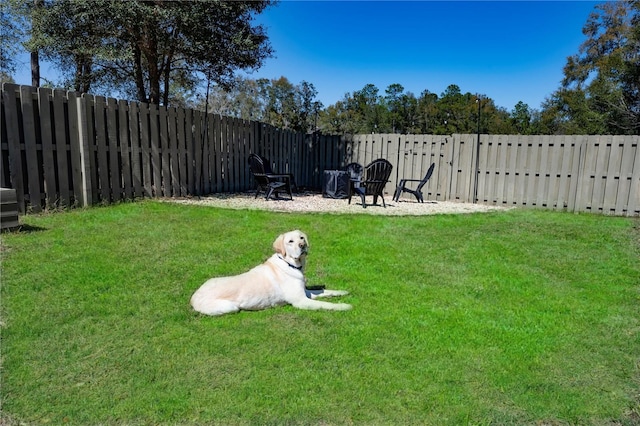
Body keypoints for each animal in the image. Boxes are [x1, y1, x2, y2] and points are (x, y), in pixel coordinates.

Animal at [190, 230, 352, 316]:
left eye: (301, 238)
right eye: (290, 241)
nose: (302, 245)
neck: (291, 264)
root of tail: (193, 297)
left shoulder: (306, 293)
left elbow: (326, 291)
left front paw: (342, 292)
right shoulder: (301, 301)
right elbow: (325, 304)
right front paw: (344, 306)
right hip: (230, 307)